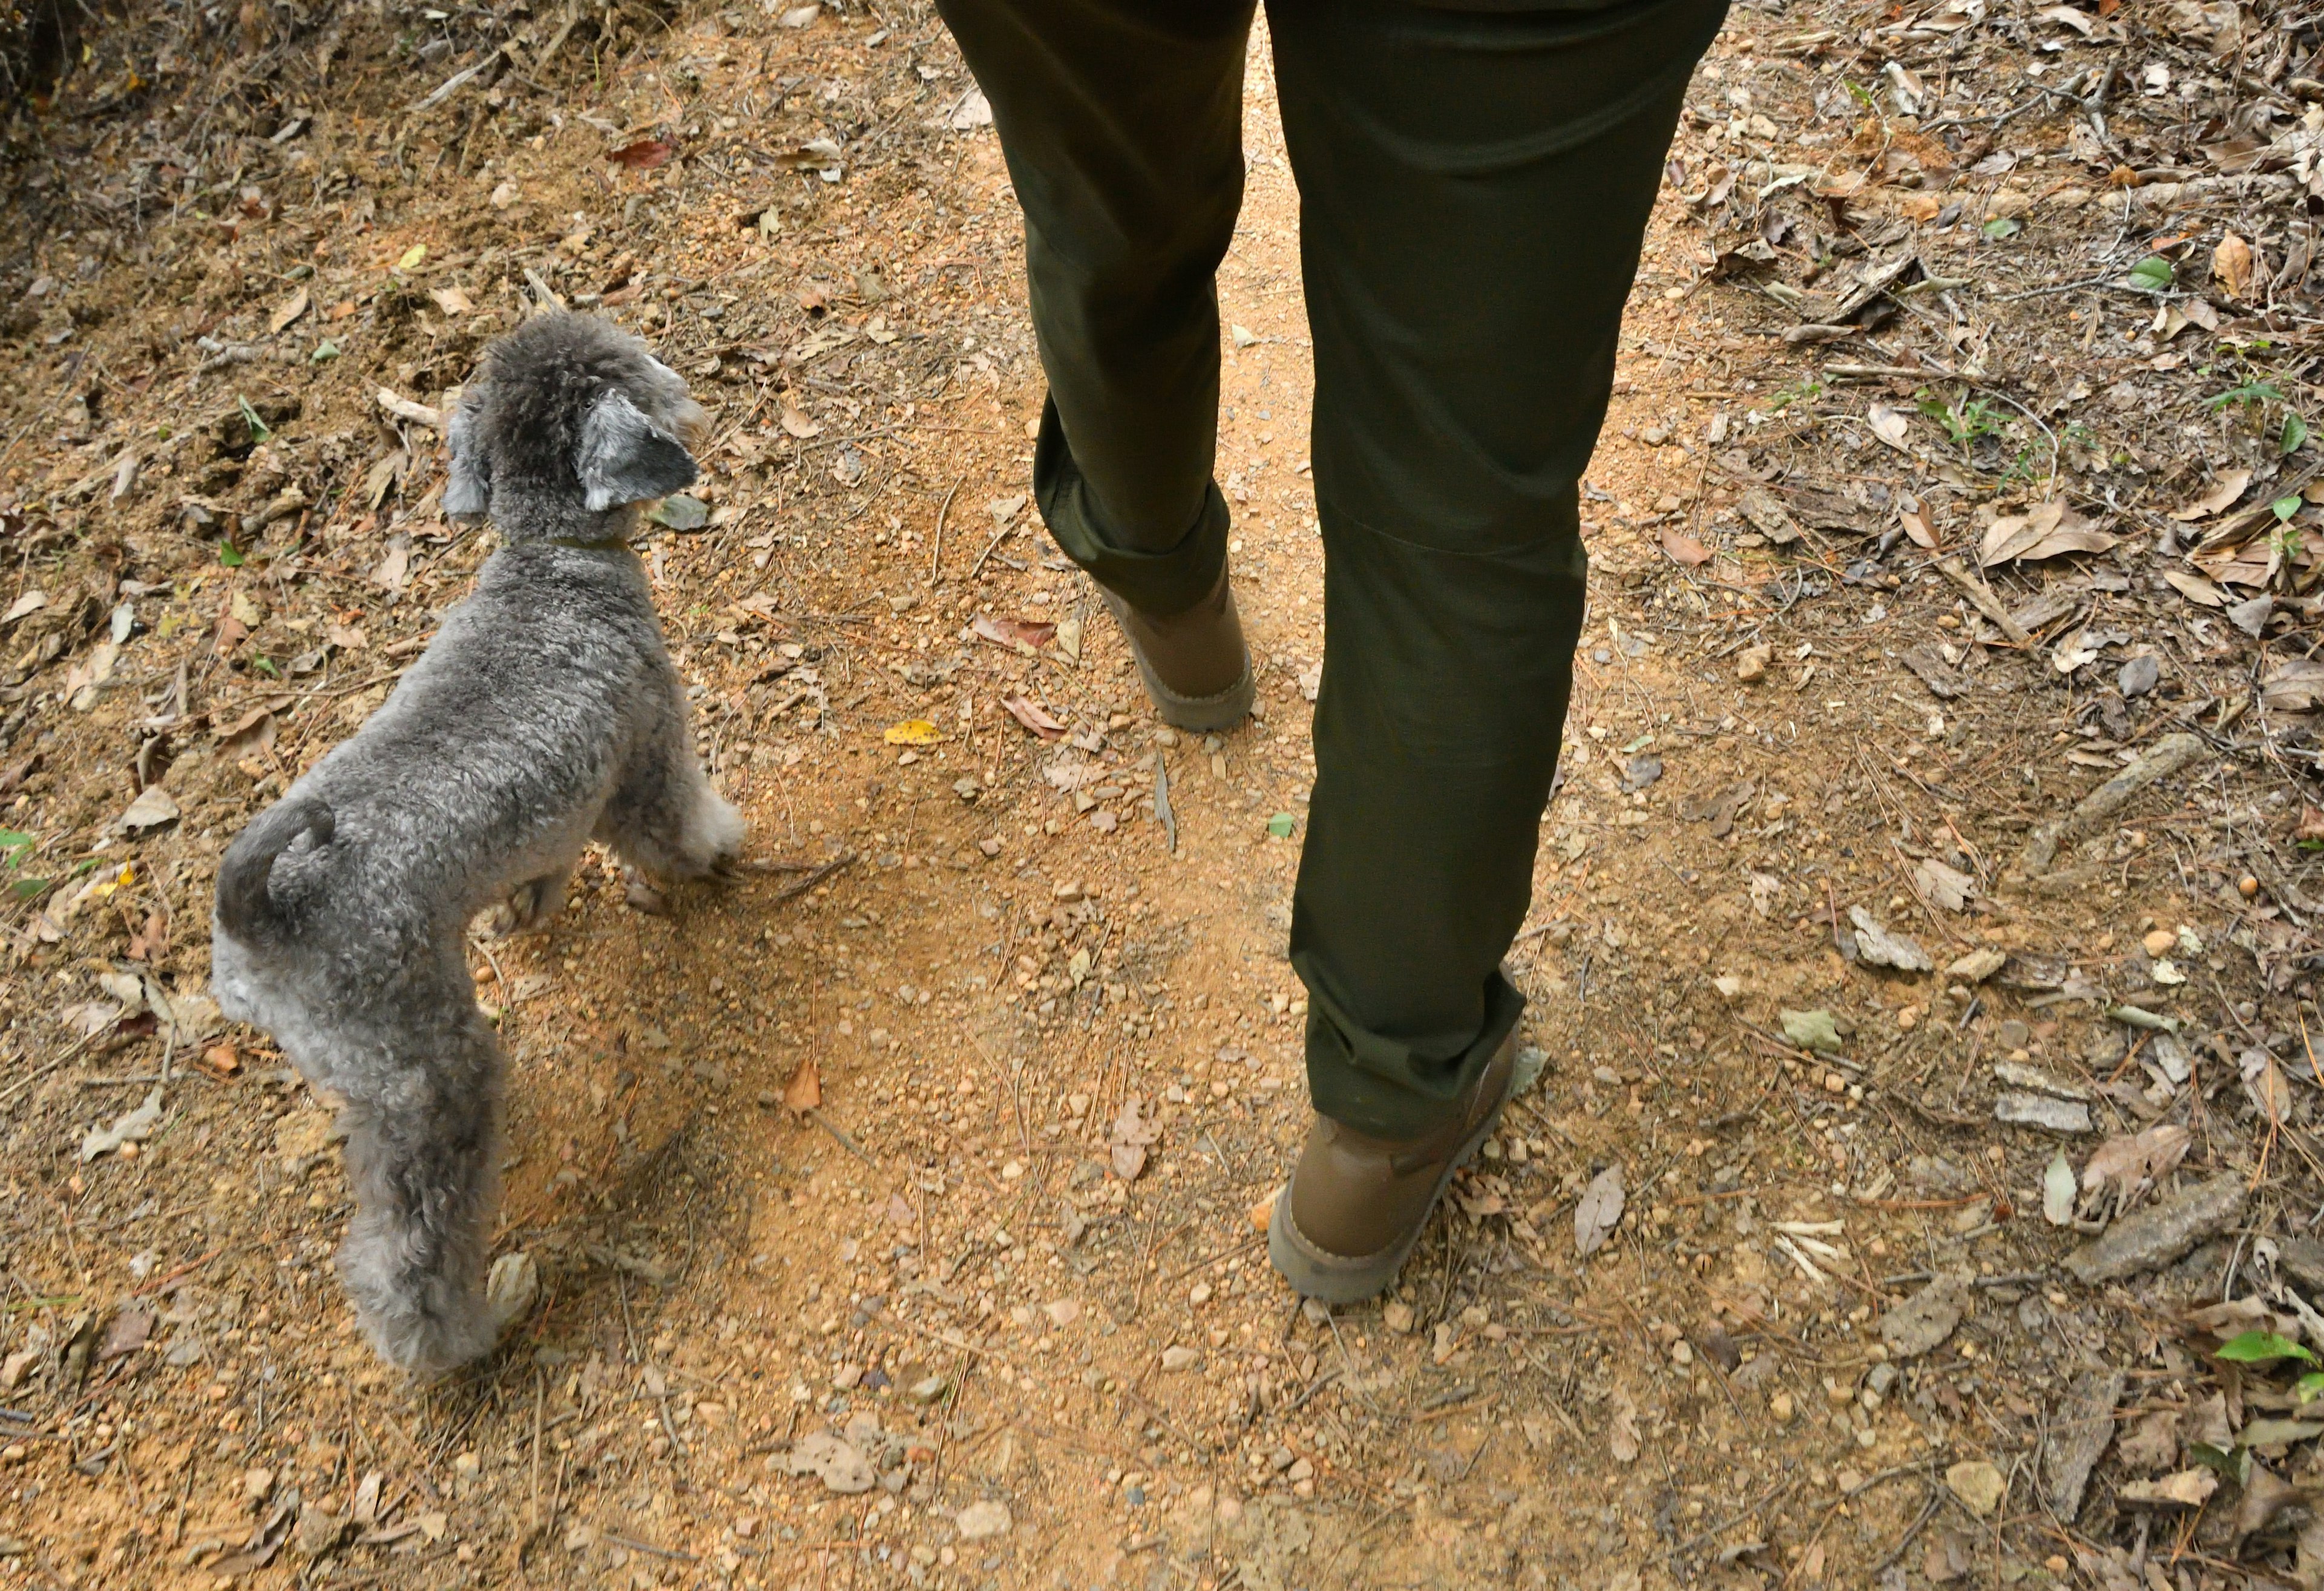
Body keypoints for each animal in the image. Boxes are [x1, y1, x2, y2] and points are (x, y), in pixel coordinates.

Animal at [214, 315, 743, 1375]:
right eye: (633, 368)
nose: (687, 392)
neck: (550, 562)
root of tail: (264, 918)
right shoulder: (645, 747)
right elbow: (674, 825)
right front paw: (717, 851)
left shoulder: (560, 804)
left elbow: (542, 868)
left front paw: (522, 914)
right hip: (432, 1075)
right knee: (409, 1251)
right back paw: (458, 1334)